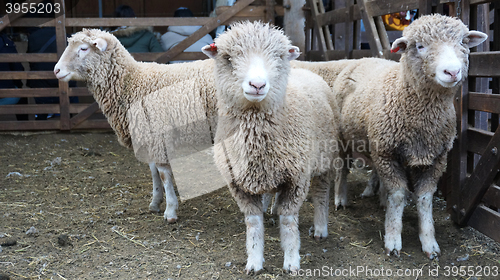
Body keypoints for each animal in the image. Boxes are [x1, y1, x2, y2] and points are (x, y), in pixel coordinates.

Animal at [53, 28, 218, 224]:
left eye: (84, 48)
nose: (56, 70)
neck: (131, 82)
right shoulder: (148, 136)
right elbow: (154, 171)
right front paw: (155, 202)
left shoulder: (158, 135)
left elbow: (164, 173)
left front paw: (170, 211)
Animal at [202, 21, 340, 274]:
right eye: (227, 58)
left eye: (279, 56)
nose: (257, 85)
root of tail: (304, 69)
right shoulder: (239, 184)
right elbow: (253, 224)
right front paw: (254, 261)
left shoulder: (297, 179)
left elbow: (289, 222)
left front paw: (292, 261)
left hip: (325, 159)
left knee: (321, 194)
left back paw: (320, 228)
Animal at [292, 14, 488, 258]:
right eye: (419, 46)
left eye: (463, 42)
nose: (452, 72)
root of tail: (363, 58)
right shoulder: (387, 154)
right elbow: (398, 195)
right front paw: (393, 239)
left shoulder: (435, 159)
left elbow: (425, 199)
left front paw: (429, 242)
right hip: (344, 138)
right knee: (343, 169)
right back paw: (340, 198)